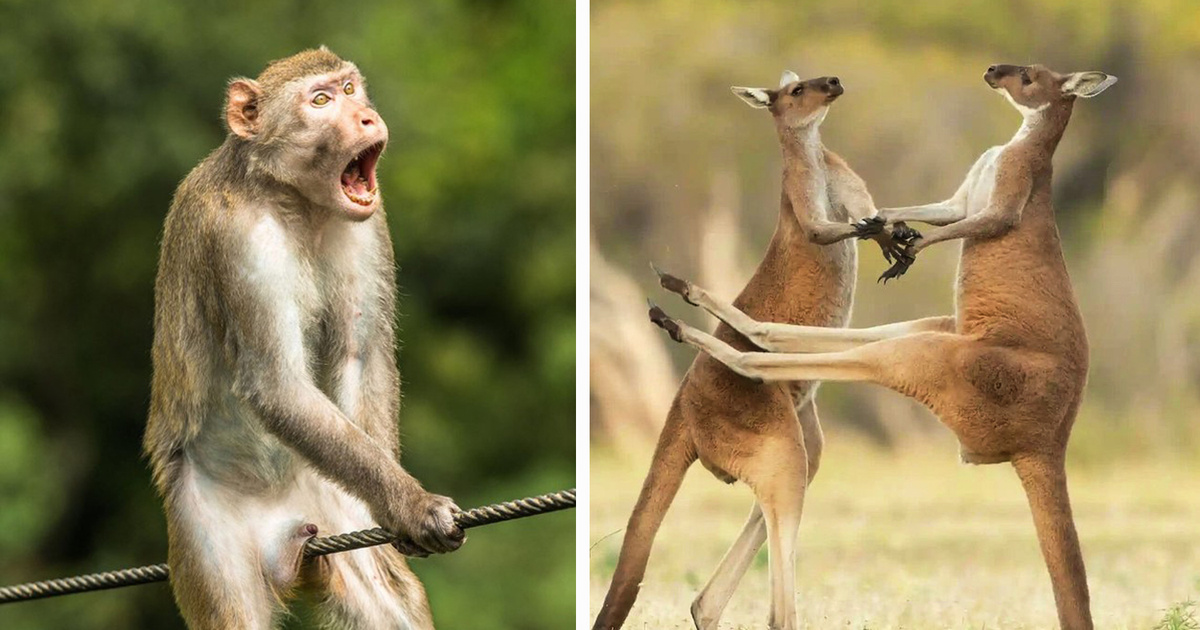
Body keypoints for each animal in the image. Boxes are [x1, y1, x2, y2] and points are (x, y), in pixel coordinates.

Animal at [145, 46, 463, 624]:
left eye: (349, 89)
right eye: (319, 101)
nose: (365, 117)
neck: (292, 201)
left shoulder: (369, 224)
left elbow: (362, 356)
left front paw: (393, 509)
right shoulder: (236, 238)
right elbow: (276, 383)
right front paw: (413, 504)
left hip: (326, 502)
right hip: (206, 529)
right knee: (234, 612)